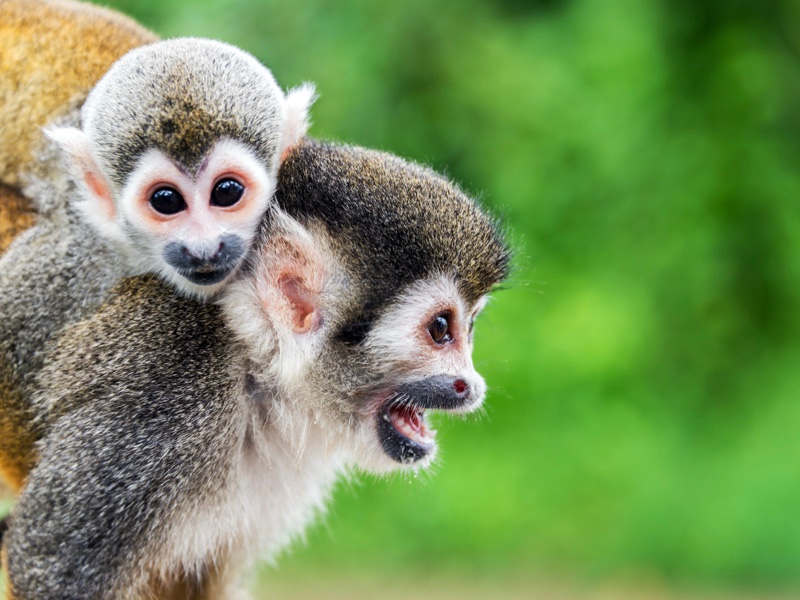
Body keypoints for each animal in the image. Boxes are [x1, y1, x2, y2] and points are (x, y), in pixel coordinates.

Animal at [0, 139, 511, 598]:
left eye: (469, 327)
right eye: (441, 329)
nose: (473, 386)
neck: (256, 372)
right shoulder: (163, 402)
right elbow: (49, 571)